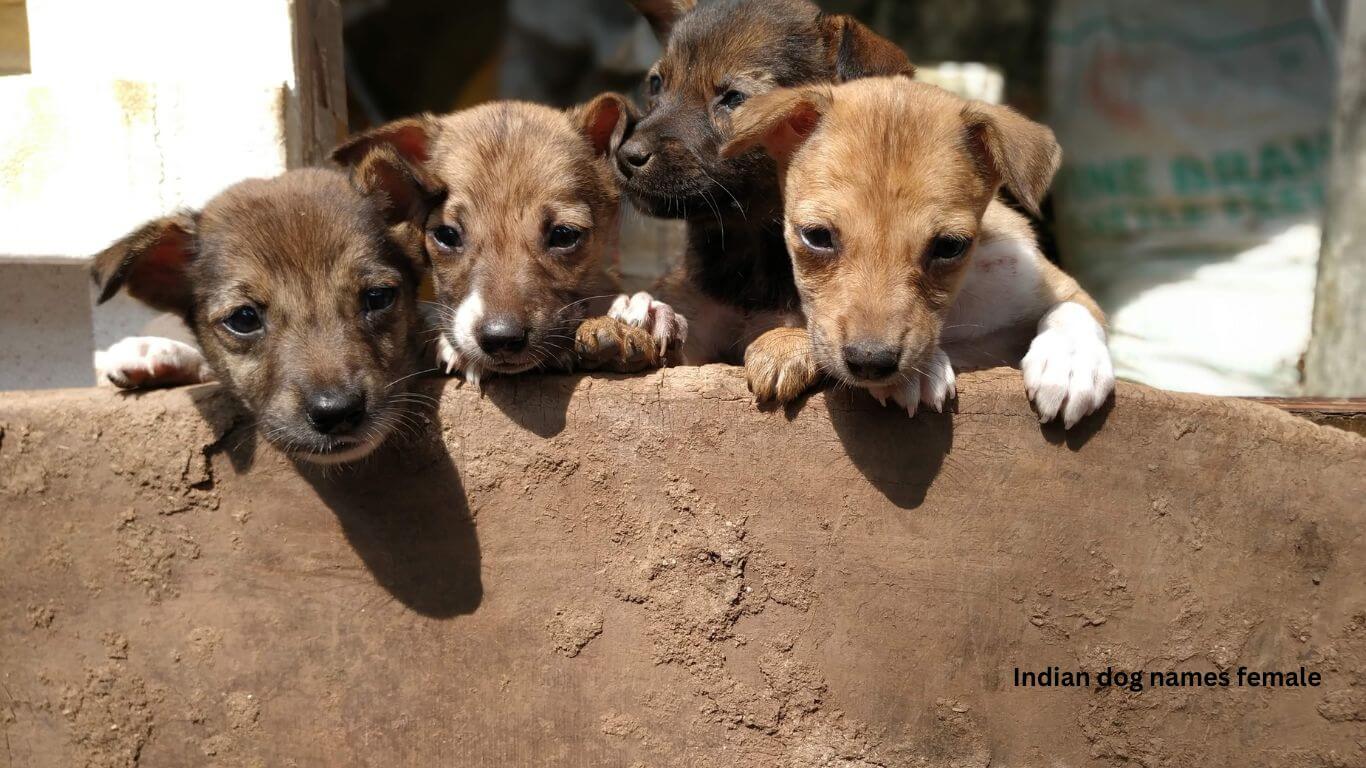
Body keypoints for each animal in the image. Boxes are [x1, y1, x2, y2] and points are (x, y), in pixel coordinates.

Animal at [721, 78, 1114, 426]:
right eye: (816, 236)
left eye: (950, 246)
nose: (870, 361)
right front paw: (784, 345)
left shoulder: (1050, 283)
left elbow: (1072, 310)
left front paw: (1071, 364)